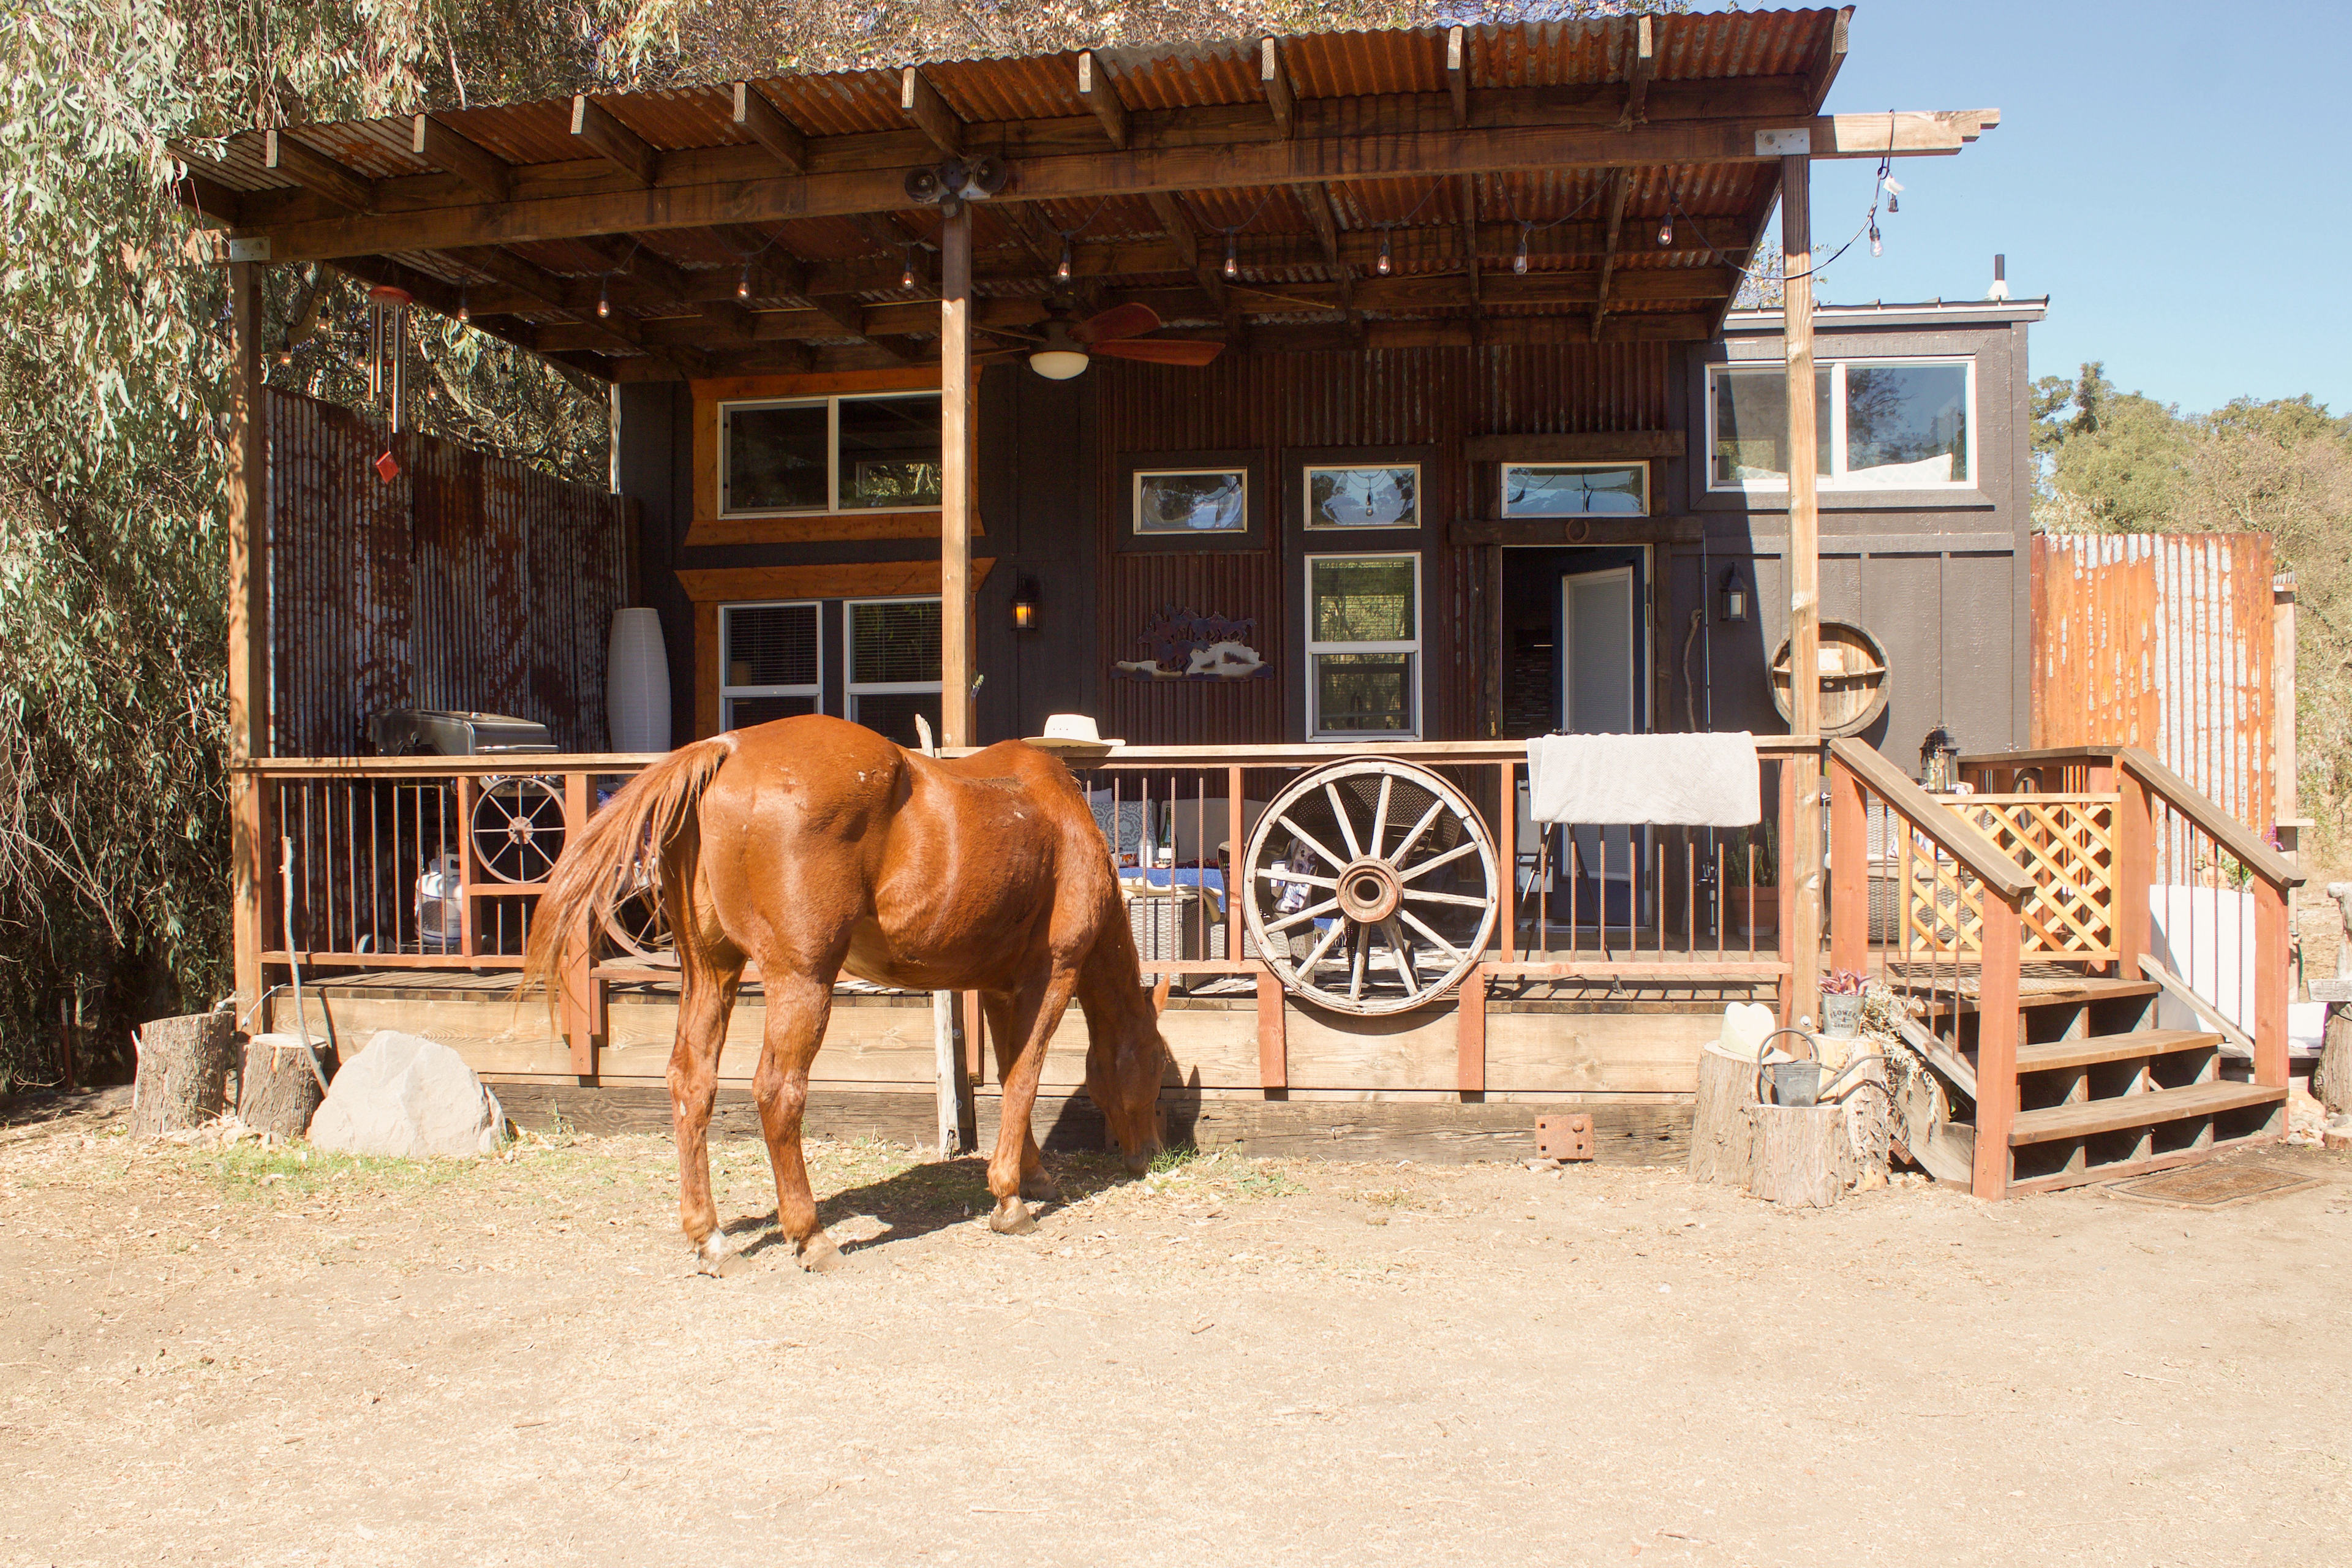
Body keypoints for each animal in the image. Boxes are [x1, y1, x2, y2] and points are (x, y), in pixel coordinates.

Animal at [523, 714, 1169, 1272]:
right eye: (1157, 1066)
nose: (1154, 1151)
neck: (1054, 814)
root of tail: (728, 748)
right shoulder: (1055, 975)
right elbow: (1027, 1078)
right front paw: (1010, 1200)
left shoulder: (999, 988)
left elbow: (1012, 1076)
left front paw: (1030, 1176)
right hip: (802, 981)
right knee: (778, 1092)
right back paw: (810, 1235)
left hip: (711, 973)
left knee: (692, 1083)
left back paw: (712, 1239)